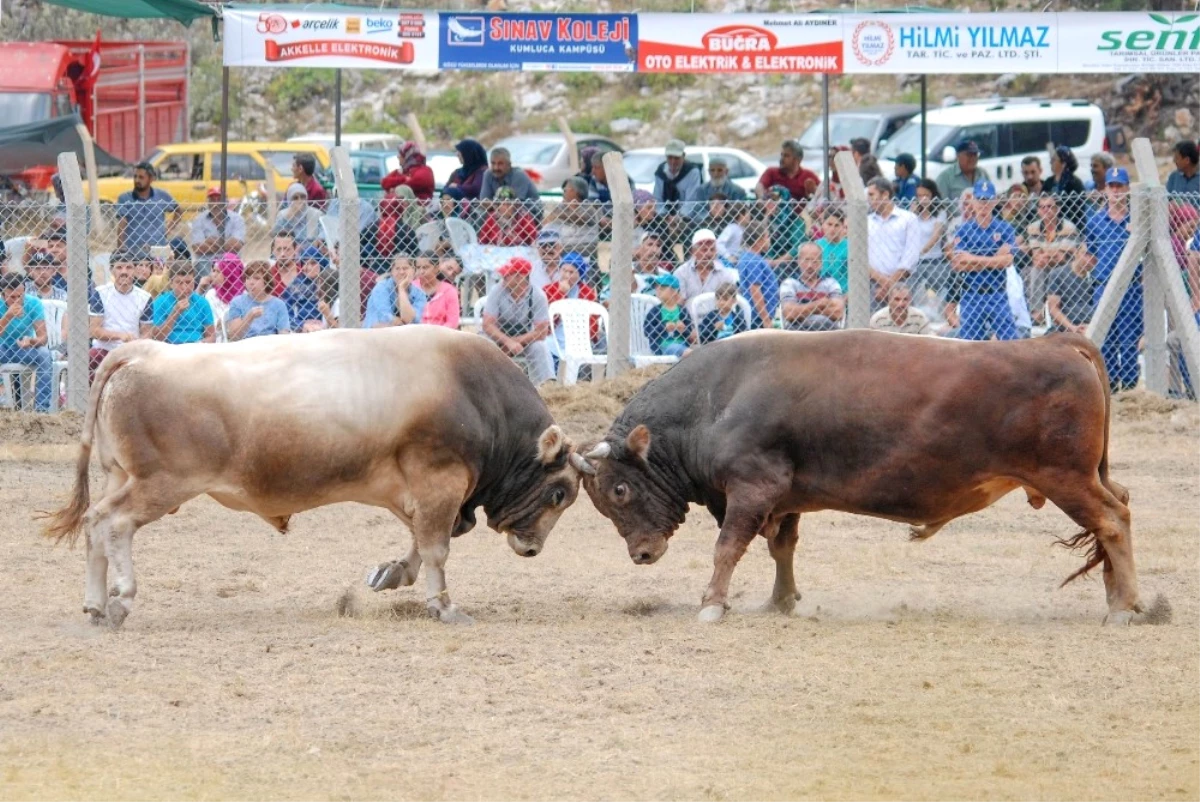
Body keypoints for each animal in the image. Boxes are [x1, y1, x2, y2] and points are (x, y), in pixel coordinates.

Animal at [585, 328, 1147, 624]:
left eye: (620, 489)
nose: (642, 554)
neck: (716, 399)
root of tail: (1058, 343)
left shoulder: (751, 489)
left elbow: (727, 547)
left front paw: (712, 605)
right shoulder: (785, 498)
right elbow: (781, 548)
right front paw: (781, 601)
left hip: (1065, 477)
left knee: (1112, 519)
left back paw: (1124, 605)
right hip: (1082, 476)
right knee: (1118, 504)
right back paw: (1117, 595)